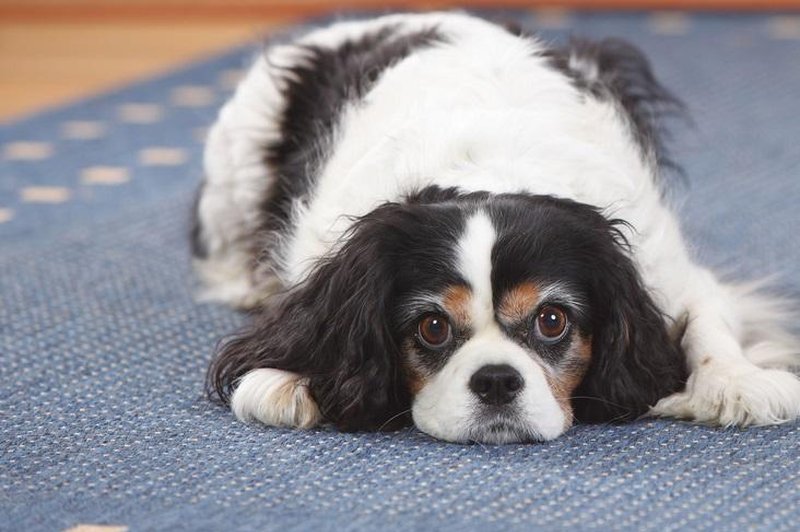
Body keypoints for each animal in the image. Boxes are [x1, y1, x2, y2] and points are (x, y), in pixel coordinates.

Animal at [194, 13, 800, 444]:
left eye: (552, 321)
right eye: (432, 327)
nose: (496, 381)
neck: (489, 171)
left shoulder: (662, 270)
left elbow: (707, 321)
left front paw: (736, 382)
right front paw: (286, 376)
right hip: (239, 154)